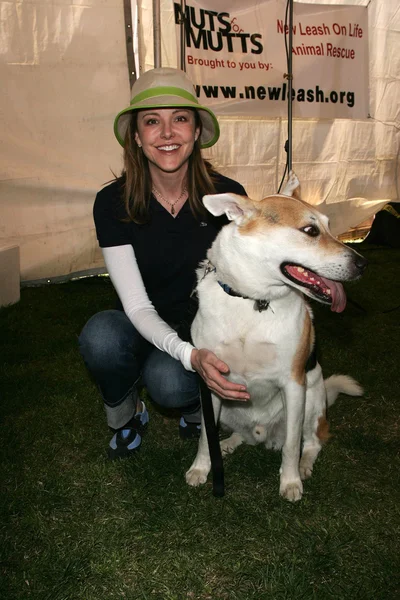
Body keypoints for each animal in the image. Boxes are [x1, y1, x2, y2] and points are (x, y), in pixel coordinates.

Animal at [186, 172, 368, 502]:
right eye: (310, 230)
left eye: (328, 225)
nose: (363, 264)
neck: (253, 301)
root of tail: (262, 433)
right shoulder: (211, 382)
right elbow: (206, 435)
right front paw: (202, 468)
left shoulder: (294, 385)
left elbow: (292, 446)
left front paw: (290, 481)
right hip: (230, 407)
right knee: (241, 435)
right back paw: (230, 443)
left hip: (312, 399)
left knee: (313, 441)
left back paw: (305, 465)